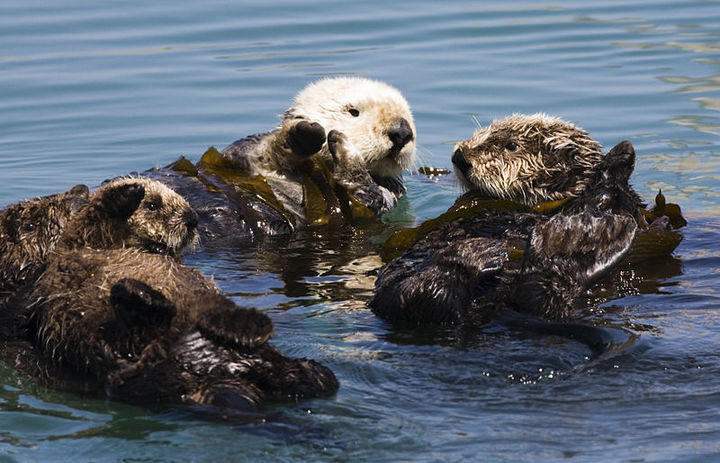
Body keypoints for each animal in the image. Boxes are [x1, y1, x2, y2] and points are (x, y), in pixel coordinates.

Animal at [143, 78, 414, 245]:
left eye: (408, 114)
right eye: (353, 111)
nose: (402, 132)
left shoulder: (385, 196)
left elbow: (364, 197)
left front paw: (346, 151)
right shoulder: (240, 154)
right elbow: (259, 151)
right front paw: (301, 136)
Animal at [368, 113, 644, 328]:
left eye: (512, 146)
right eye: (482, 133)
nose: (460, 157)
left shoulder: (627, 206)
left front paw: (621, 155)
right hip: (393, 293)